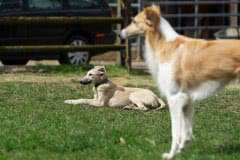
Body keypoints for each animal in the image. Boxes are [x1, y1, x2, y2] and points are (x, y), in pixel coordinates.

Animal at [121, 4, 240, 159]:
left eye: (134, 21)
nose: (120, 33)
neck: (166, 44)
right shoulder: (187, 100)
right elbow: (186, 133)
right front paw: (182, 150)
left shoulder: (175, 98)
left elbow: (175, 132)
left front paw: (171, 154)